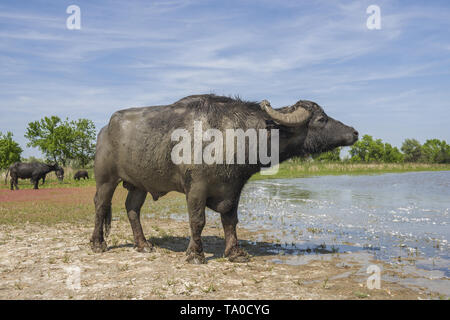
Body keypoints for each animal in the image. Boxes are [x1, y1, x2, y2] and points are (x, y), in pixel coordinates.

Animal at [90, 94, 358, 264]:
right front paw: (195, 255)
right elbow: (197, 221)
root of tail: (104, 129)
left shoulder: (232, 188)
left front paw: (235, 252)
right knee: (101, 206)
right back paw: (97, 244)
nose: (354, 132)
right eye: (321, 119)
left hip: (139, 184)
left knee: (132, 209)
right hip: (106, 179)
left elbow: (230, 221)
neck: (233, 136)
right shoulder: (195, 188)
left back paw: (143, 244)